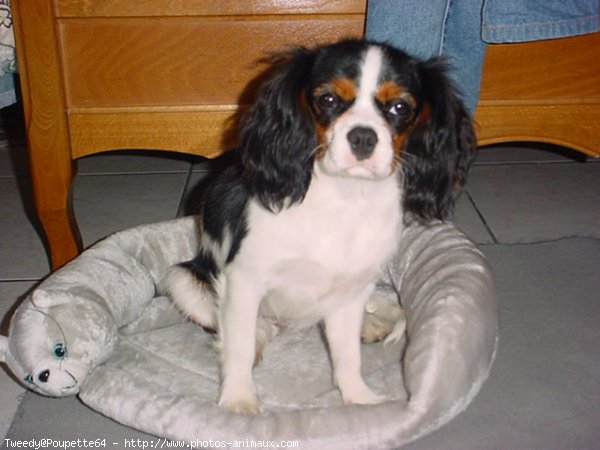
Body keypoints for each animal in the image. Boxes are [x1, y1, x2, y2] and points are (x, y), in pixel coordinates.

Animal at [162, 38, 476, 414]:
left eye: (400, 107)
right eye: (327, 100)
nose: (363, 137)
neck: (346, 196)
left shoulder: (352, 288)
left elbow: (347, 355)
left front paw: (359, 400)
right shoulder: (243, 280)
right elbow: (238, 345)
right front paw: (238, 401)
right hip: (182, 280)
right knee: (246, 328)